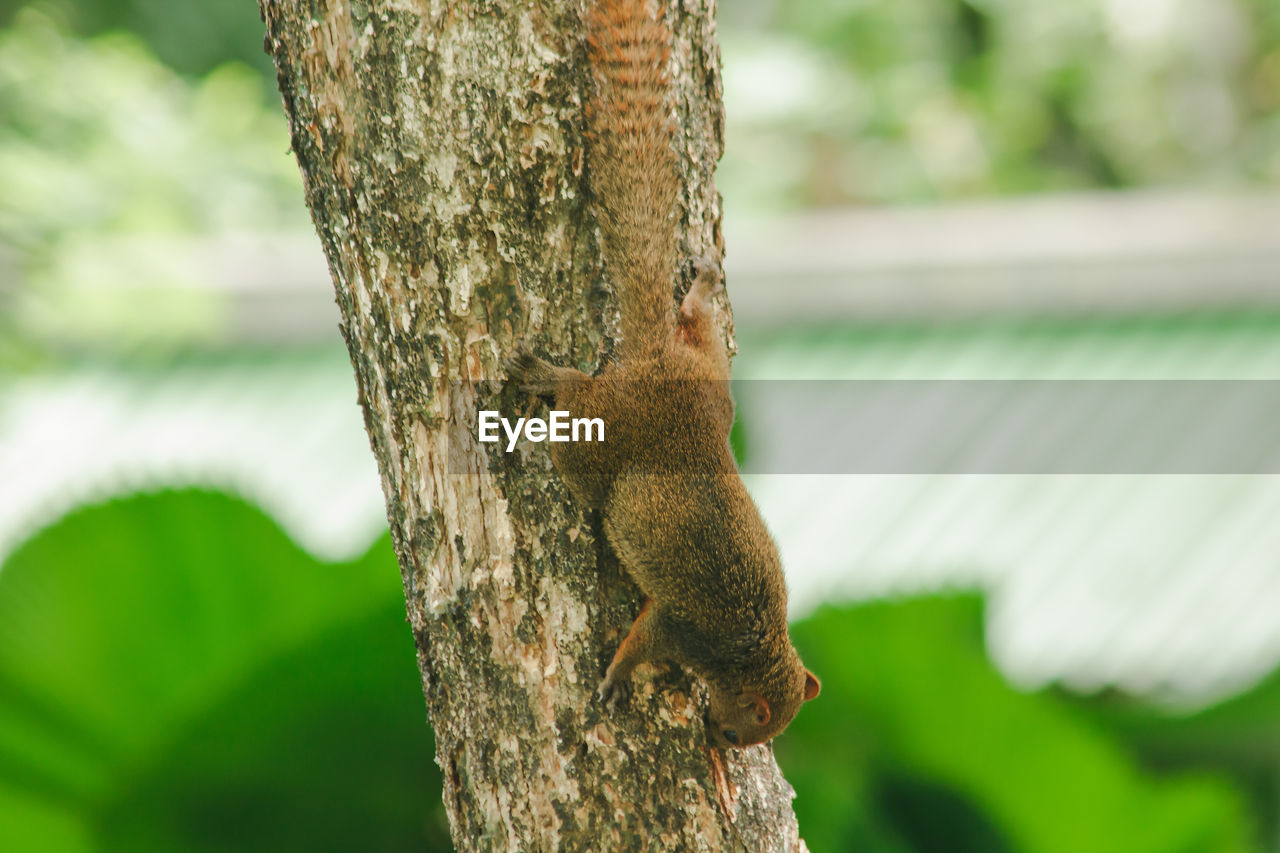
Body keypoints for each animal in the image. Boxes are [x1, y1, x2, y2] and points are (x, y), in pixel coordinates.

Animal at [504, 0, 814, 742]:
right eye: (739, 731)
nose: (719, 738)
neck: (756, 649)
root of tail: (656, 366)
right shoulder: (684, 628)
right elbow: (641, 641)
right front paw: (618, 678)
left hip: (709, 376)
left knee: (697, 323)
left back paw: (701, 282)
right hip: (602, 436)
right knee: (576, 411)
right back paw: (545, 374)